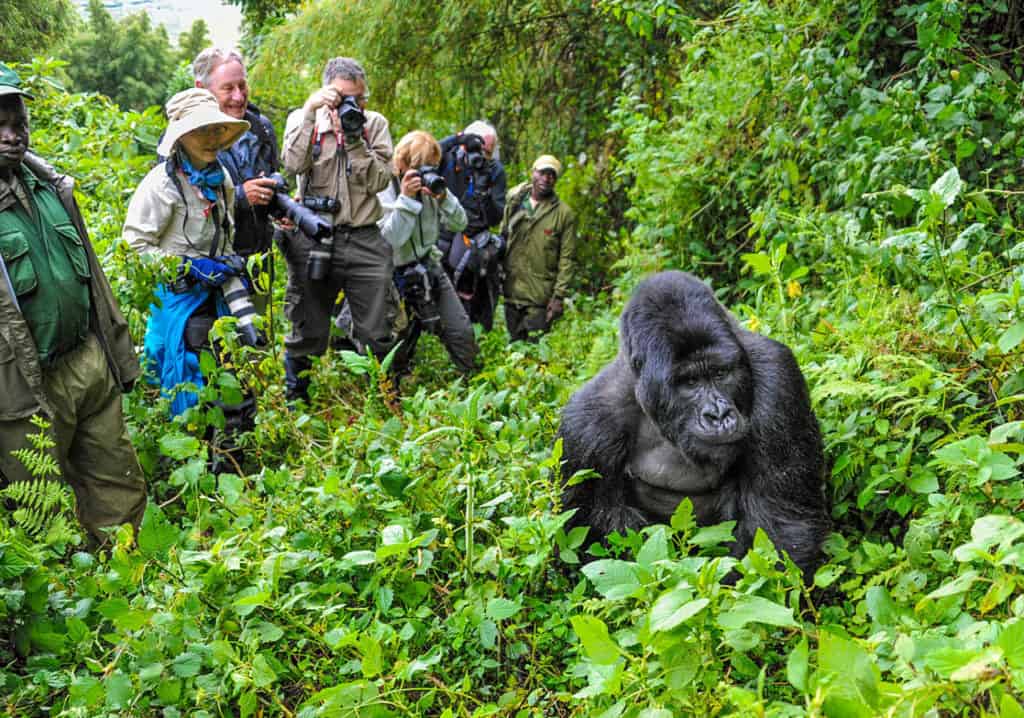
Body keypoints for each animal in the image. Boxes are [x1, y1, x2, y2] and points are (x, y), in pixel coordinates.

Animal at [557, 268, 827, 577]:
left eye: (720, 373)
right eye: (690, 382)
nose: (718, 415)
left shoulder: (778, 378)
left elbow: (780, 527)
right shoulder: (585, 429)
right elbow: (588, 539)